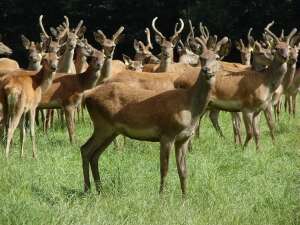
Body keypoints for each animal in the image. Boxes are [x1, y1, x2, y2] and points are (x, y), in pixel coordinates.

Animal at [79, 35, 227, 197]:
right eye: (202, 58)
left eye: (217, 58)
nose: (207, 70)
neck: (190, 107)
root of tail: (87, 95)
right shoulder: (167, 133)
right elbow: (164, 168)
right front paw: (162, 196)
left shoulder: (183, 138)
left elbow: (183, 171)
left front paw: (185, 197)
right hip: (102, 125)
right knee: (85, 149)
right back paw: (87, 189)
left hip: (111, 130)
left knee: (94, 154)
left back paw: (99, 189)